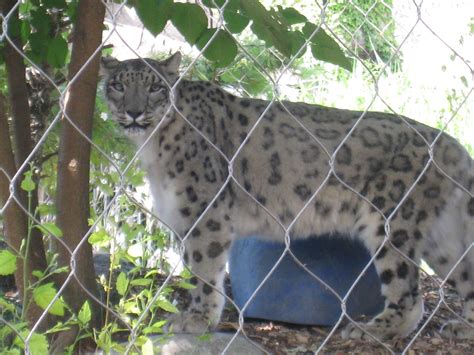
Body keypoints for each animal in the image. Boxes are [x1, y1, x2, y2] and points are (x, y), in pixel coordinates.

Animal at [101, 53, 474, 342]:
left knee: (408, 292)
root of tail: (449, 143)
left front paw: (197, 319)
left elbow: (204, 270)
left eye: (154, 87)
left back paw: (373, 328)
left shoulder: (204, 213)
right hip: (442, 238)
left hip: (390, 219)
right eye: (118, 85)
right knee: (465, 273)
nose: (134, 112)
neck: (152, 147)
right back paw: (463, 327)